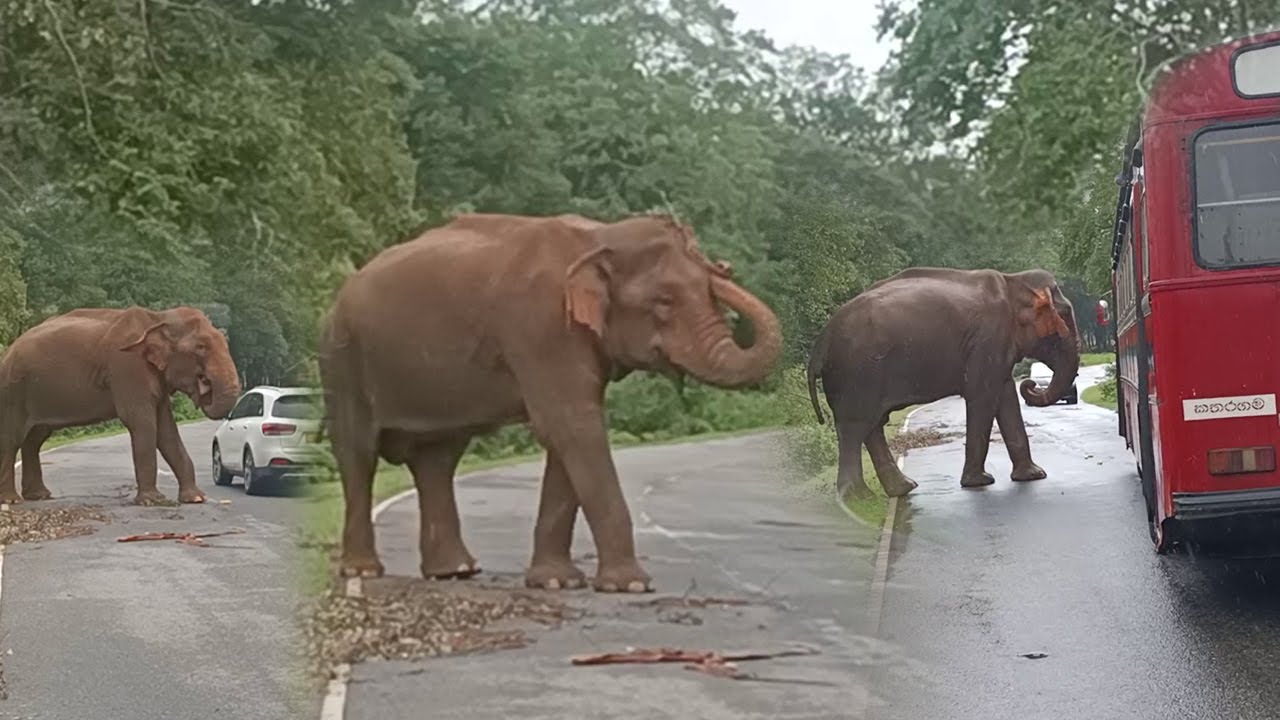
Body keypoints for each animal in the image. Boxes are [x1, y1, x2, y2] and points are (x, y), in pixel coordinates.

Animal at [0, 306, 242, 505]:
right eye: (201, 347)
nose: (204, 386)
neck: (157, 318)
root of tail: (8, 350)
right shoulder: (127, 368)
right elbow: (142, 422)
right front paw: (153, 501)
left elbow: (166, 430)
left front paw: (196, 498)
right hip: (12, 391)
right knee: (12, 439)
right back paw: (11, 501)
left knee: (34, 440)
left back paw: (39, 496)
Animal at [318, 212, 782, 593]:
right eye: (664, 301)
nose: (721, 264)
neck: (599, 237)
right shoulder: (541, 328)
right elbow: (571, 426)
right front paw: (631, 586)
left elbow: (568, 435)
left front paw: (557, 582)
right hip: (342, 361)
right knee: (358, 453)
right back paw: (363, 571)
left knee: (437, 459)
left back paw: (455, 572)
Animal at [805, 267, 1080, 501]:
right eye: (1065, 316)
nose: (1031, 383)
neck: (1013, 281)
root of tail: (822, 341)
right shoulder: (988, 340)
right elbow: (983, 396)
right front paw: (980, 482)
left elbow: (1005, 397)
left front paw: (1033, 476)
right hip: (856, 373)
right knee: (854, 428)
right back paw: (858, 498)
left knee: (871, 427)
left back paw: (901, 488)